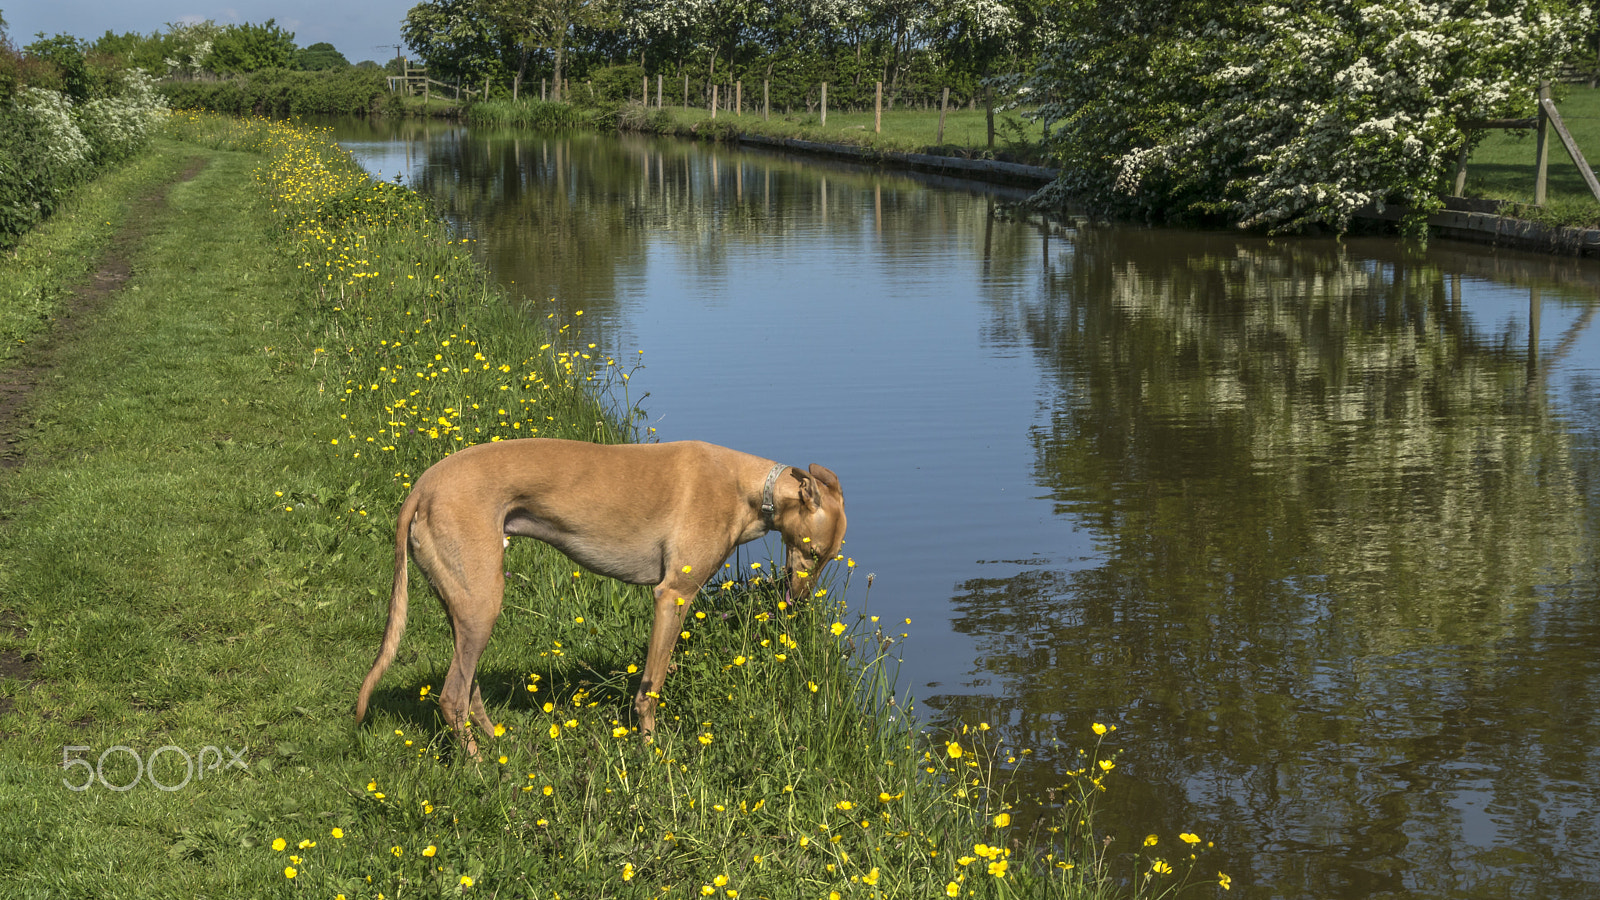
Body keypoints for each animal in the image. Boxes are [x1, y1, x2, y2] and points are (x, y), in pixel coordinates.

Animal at [355, 435, 844, 749]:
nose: (798, 605)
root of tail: (422, 487)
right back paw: (481, 768)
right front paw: (650, 751)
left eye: (828, 557)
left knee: (467, 688)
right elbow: (651, 687)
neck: (748, 487)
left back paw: (496, 746)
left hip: (465, 605)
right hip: (481, 605)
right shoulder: (673, 595)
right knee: (451, 697)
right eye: (812, 551)